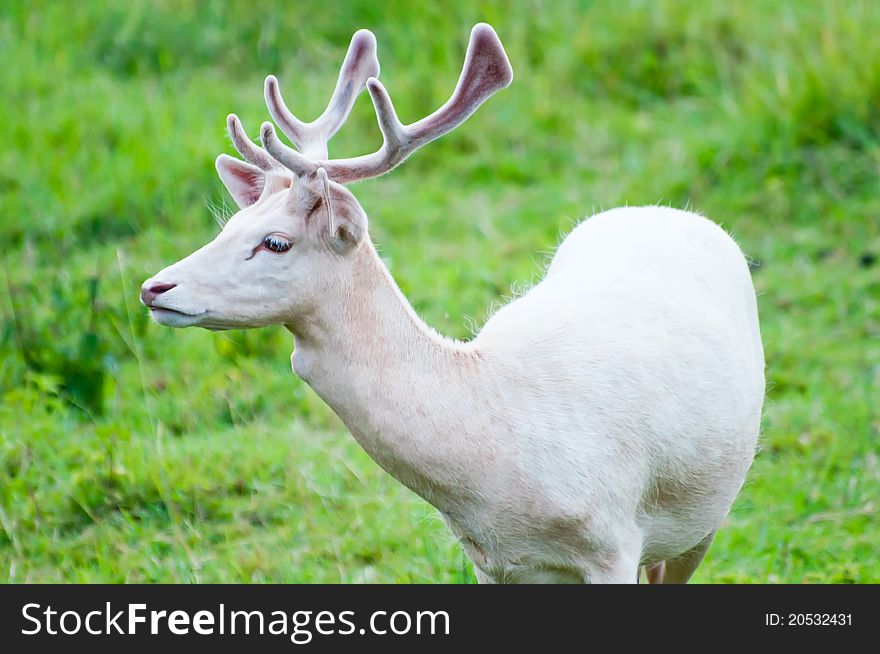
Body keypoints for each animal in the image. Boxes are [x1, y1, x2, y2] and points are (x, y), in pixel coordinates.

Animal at [139, 24, 764, 584]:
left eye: (275, 242)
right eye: (229, 224)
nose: (154, 288)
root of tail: (669, 211)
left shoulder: (612, 544)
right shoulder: (494, 562)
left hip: (706, 515)